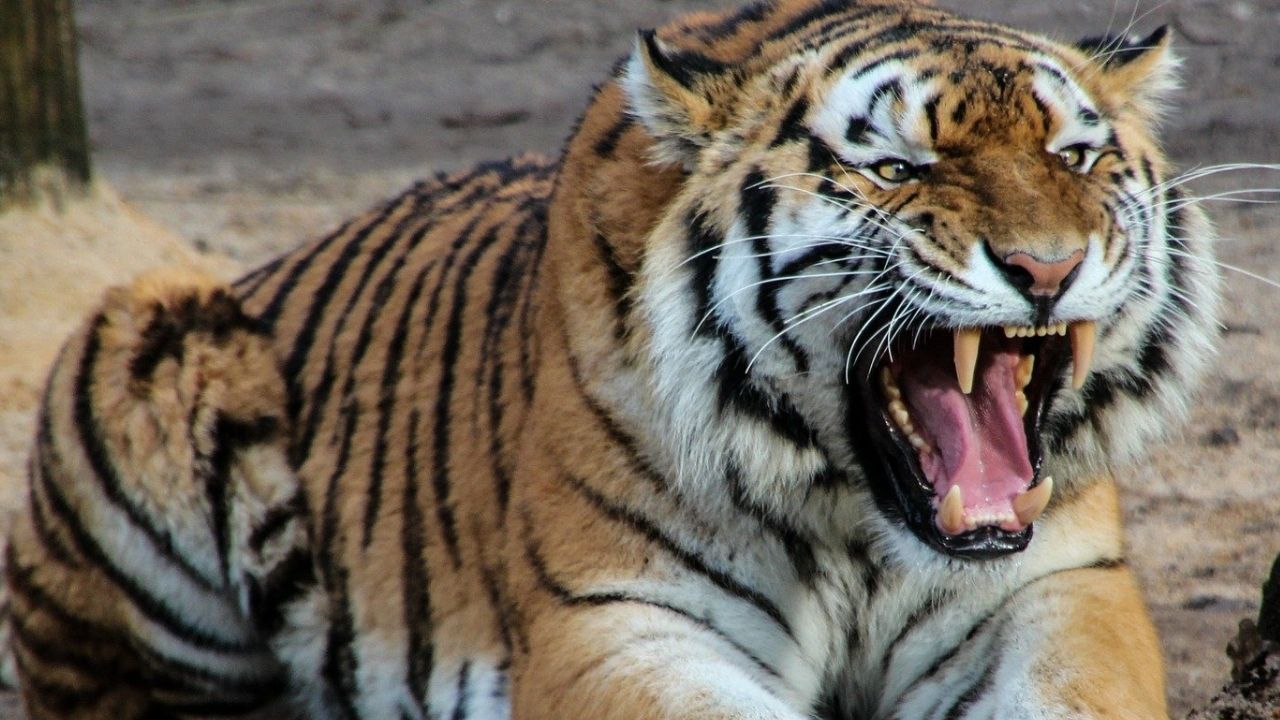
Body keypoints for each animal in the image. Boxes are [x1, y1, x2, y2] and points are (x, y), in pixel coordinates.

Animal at [4, 0, 1222, 718]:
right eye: (896, 168)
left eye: (1074, 155)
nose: (1047, 266)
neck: (858, 523)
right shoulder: (617, 618)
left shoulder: (1061, 587)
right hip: (145, 337)